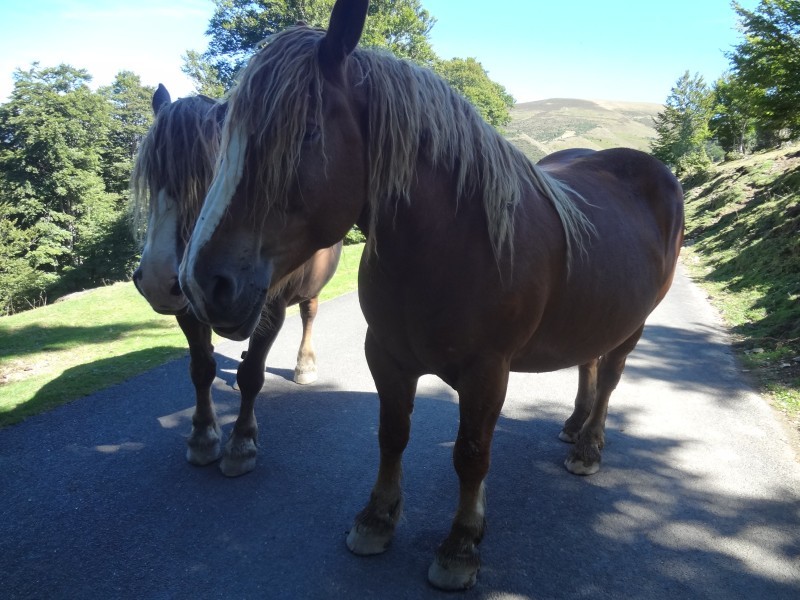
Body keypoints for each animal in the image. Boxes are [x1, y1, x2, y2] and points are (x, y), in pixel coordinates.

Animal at [130, 85, 340, 478]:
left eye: (212, 170)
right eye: (150, 176)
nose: (156, 279)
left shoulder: (270, 309)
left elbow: (252, 375)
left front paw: (241, 442)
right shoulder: (188, 309)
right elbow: (201, 369)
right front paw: (202, 436)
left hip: (310, 291)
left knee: (309, 316)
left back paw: (304, 365)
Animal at [178, 0, 684, 592]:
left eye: (306, 132)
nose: (202, 282)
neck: (451, 243)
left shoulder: (487, 373)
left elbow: (471, 455)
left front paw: (461, 546)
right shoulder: (387, 356)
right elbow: (392, 435)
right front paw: (376, 519)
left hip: (633, 328)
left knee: (609, 379)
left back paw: (589, 445)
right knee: (588, 367)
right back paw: (573, 426)